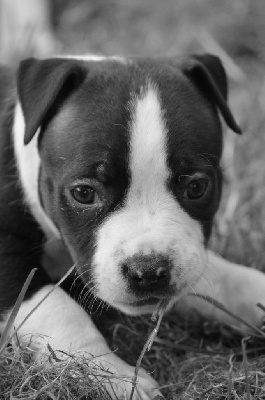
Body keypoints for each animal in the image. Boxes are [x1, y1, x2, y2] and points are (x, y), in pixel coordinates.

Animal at [0, 54, 264, 400]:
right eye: (83, 193)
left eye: (196, 187)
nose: (149, 271)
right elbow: (58, 308)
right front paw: (110, 374)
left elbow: (221, 278)